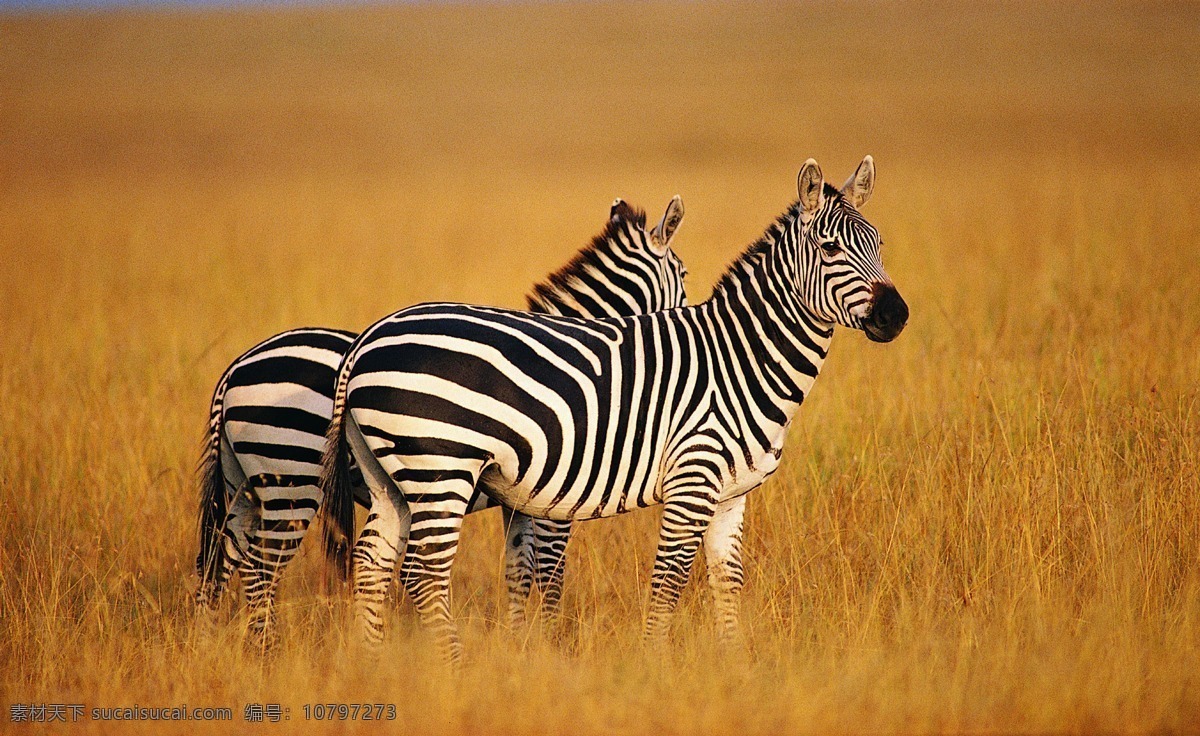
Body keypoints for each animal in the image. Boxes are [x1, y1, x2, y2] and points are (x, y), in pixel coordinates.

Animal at [192, 195, 691, 648]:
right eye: (684, 275)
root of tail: (235, 369)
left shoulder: (520, 500)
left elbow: (518, 569)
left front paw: (518, 643)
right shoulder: (551, 495)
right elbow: (549, 571)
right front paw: (549, 642)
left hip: (245, 483)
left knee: (219, 559)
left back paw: (210, 647)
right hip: (291, 478)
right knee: (260, 567)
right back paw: (266, 649)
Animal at [319, 154, 907, 657]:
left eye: (878, 243)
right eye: (830, 249)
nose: (896, 315)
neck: (738, 357)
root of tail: (366, 339)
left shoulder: (730, 495)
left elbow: (727, 584)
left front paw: (733, 666)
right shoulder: (684, 482)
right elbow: (661, 581)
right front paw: (648, 667)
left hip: (389, 478)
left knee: (372, 564)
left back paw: (375, 663)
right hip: (440, 467)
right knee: (423, 574)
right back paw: (454, 668)